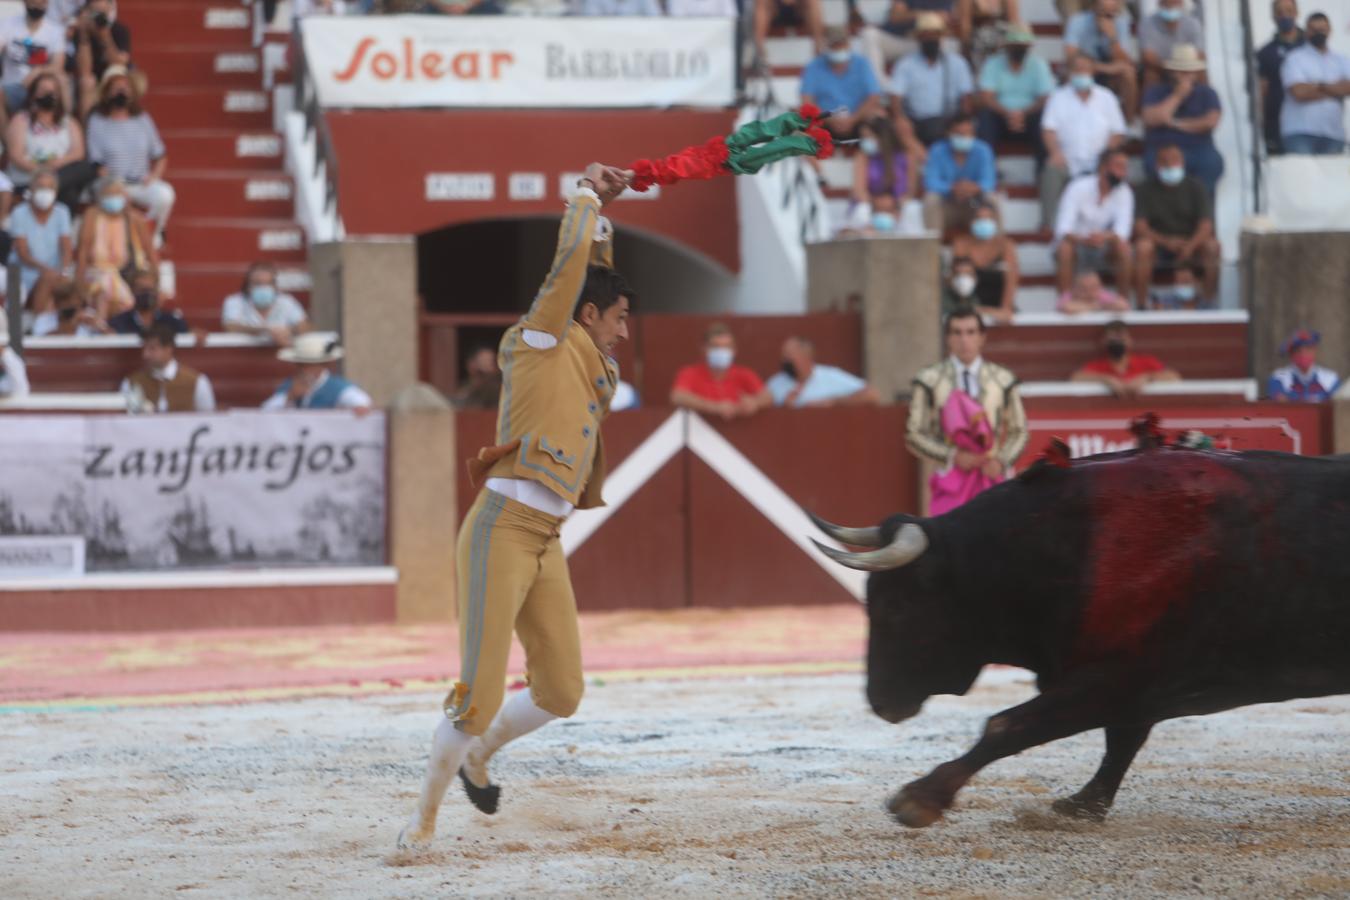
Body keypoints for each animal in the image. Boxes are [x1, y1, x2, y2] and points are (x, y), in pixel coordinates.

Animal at [810, 447, 1350, 825]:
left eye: (898, 606)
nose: (880, 702)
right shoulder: (1130, 686)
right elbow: (1121, 741)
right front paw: (1084, 805)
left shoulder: (1118, 677)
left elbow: (1008, 726)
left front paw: (919, 799)